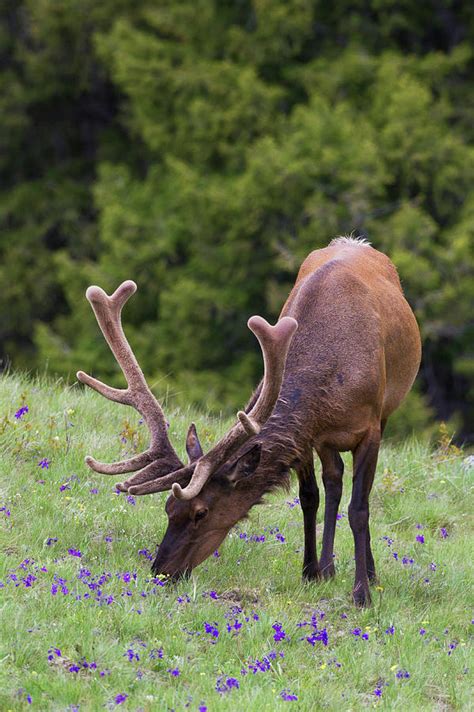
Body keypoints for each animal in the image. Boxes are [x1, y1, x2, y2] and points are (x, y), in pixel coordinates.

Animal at [78, 239, 422, 608]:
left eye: (201, 512)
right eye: (169, 508)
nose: (161, 572)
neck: (331, 382)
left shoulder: (370, 426)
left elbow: (359, 509)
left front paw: (362, 594)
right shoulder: (306, 436)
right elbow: (309, 498)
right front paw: (311, 572)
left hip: (385, 409)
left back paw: (368, 573)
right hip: (326, 443)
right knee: (333, 481)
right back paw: (329, 568)